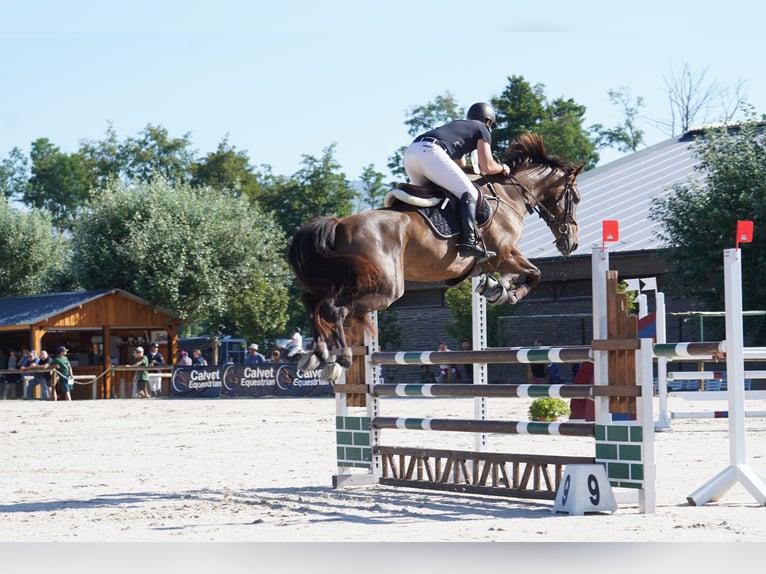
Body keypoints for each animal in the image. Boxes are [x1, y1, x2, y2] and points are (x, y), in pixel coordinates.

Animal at [286, 133, 584, 380]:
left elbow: (513, 274)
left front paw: (495, 288)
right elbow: (535, 273)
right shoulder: (505, 254)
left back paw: (316, 356)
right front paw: (507, 295)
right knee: (334, 308)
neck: (509, 194)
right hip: (385, 288)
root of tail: (339, 224)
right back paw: (339, 359)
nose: (571, 242)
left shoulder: (499, 259)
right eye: (577, 198)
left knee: (313, 302)